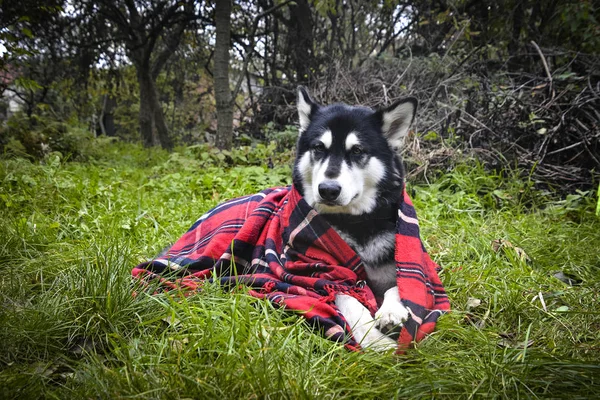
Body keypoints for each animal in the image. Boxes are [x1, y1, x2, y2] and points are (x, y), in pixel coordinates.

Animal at [292, 87, 418, 350]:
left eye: (357, 151)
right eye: (319, 148)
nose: (328, 189)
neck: (356, 223)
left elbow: (399, 284)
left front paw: (391, 310)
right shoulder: (326, 274)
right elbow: (350, 302)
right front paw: (376, 341)